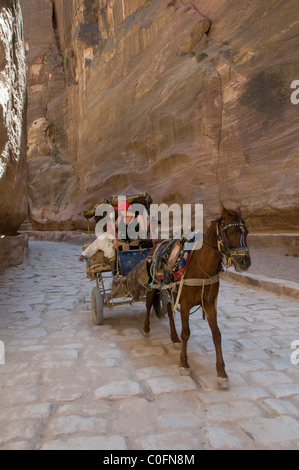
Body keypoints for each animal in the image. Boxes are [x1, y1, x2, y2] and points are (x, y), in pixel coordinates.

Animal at [142, 206, 252, 390]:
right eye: (231, 231)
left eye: (247, 232)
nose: (245, 262)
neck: (202, 267)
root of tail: (158, 244)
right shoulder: (185, 304)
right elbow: (186, 332)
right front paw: (184, 364)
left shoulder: (209, 304)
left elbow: (217, 335)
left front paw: (222, 373)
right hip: (154, 285)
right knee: (149, 303)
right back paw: (145, 329)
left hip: (171, 291)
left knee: (169, 310)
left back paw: (174, 338)